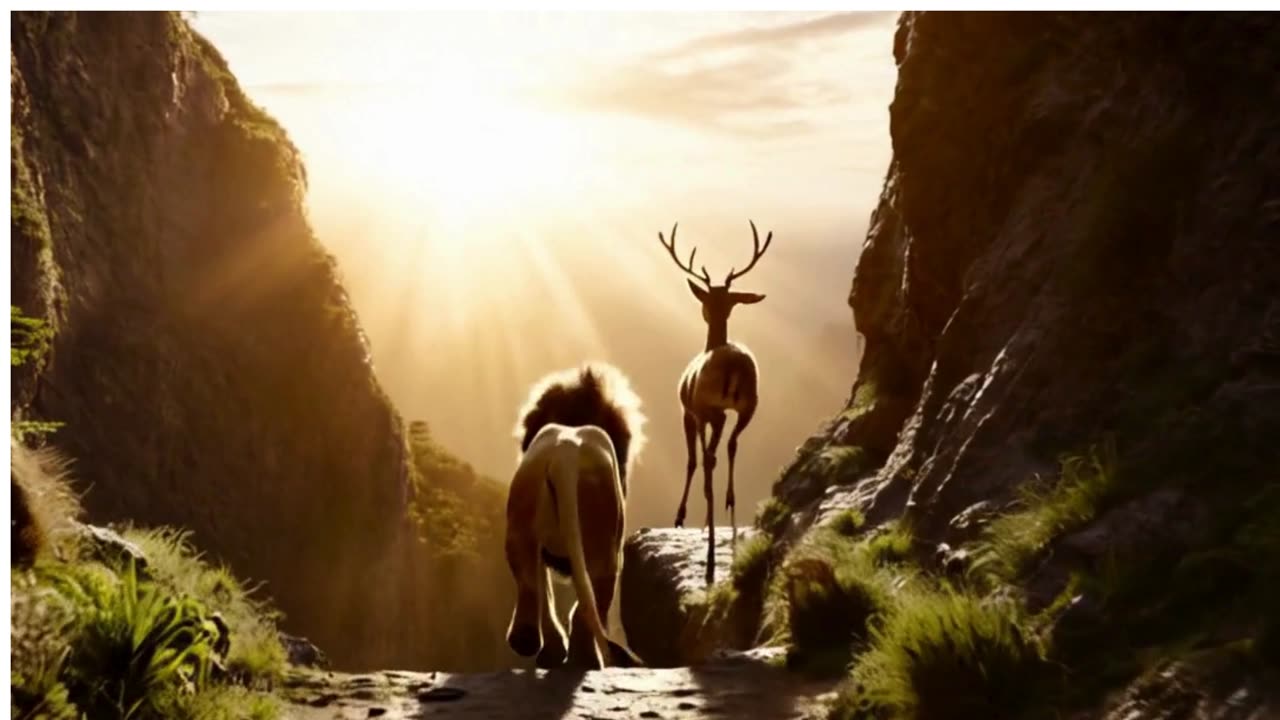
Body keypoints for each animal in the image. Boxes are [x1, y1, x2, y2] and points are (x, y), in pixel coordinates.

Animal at [504, 363, 647, 670]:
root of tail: (565, 455)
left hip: (520, 526)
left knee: (531, 586)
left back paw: (537, 646)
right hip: (605, 549)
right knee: (588, 607)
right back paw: (586, 661)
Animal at [657, 220, 774, 587]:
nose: (706, 311)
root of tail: (735, 366)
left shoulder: (690, 411)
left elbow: (692, 461)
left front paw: (680, 516)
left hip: (713, 409)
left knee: (709, 457)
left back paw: (709, 544)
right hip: (750, 404)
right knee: (733, 445)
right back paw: (728, 503)